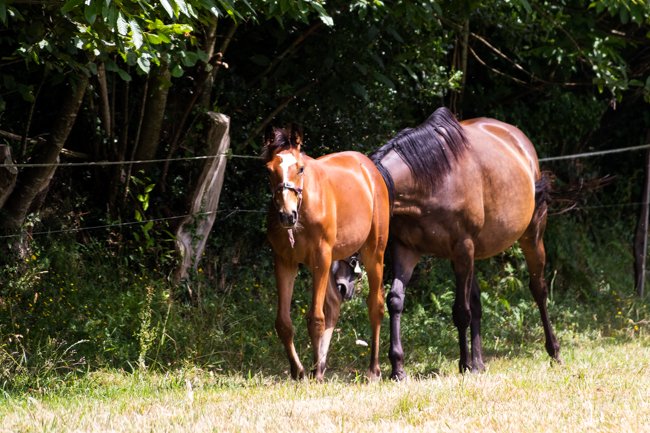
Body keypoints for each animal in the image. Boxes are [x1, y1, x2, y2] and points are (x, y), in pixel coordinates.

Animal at [263, 125, 390, 381]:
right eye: (269, 170)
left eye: (300, 168)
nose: (287, 215)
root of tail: (370, 169)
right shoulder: (284, 261)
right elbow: (283, 323)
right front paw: (299, 370)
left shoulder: (320, 258)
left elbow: (315, 318)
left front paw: (315, 374)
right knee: (334, 305)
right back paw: (320, 364)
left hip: (373, 253)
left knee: (376, 305)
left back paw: (373, 369)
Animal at [371, 107, 561, 380]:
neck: (431, 181)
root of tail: (518, 138)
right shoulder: (407, 250)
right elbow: (396, 300)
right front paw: (398, 367)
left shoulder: (462, 248)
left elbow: (461, 311)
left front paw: (464, 364)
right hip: (474, 252)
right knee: (477, 303)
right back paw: (479, 362)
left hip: (531, 235)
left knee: (539, 289)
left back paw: (553, 351)